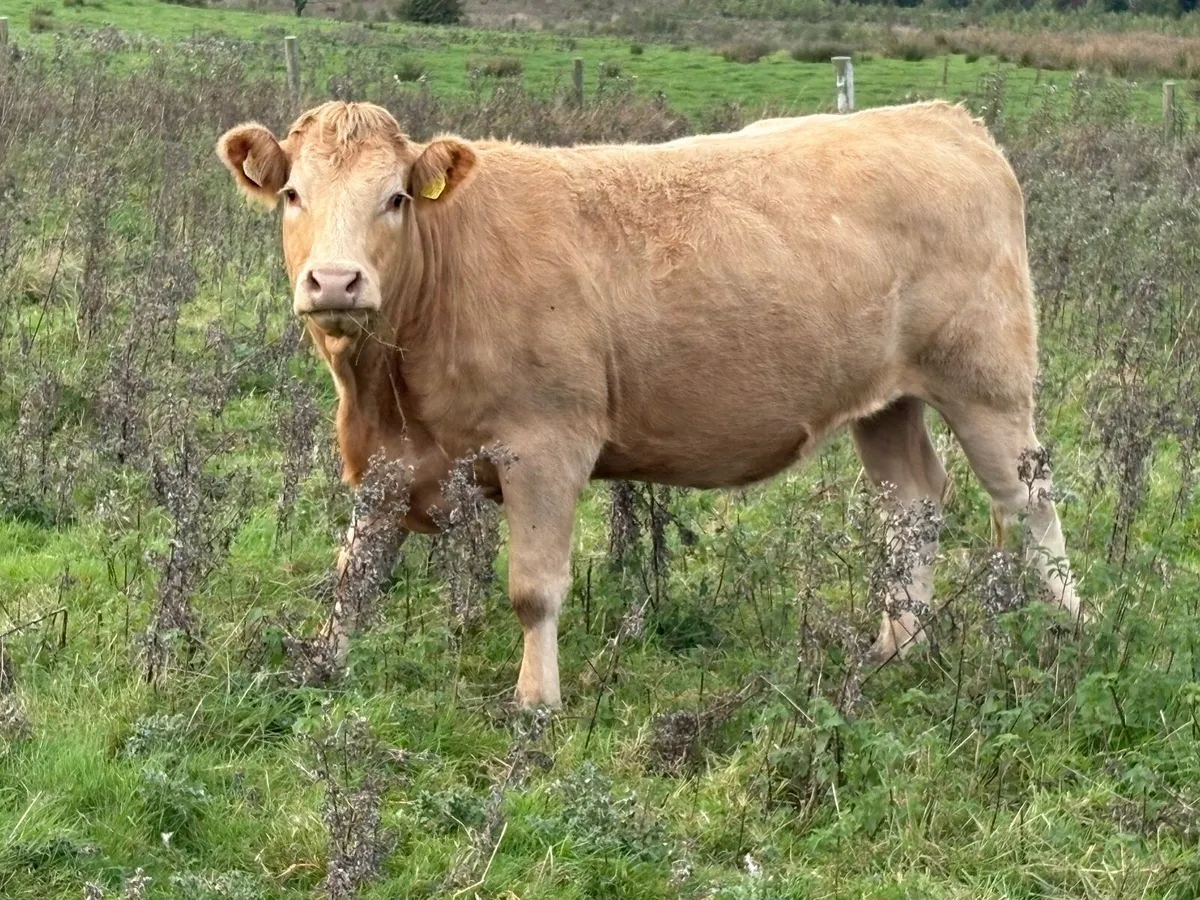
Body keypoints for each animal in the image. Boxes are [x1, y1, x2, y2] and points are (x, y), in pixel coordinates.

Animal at [216, 98, 1082, 709]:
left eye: (395, 198)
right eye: (292, 193)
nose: (336, 281)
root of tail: (941, 118)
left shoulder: (546, 447)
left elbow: (534, 588)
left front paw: (536, 701)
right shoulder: (390, 457)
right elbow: (353, 574)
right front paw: (320, 667)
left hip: (987, 380)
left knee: (1029, 499)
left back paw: (1070, 632)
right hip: (886, 401)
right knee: (912, 500)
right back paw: (898, 647)